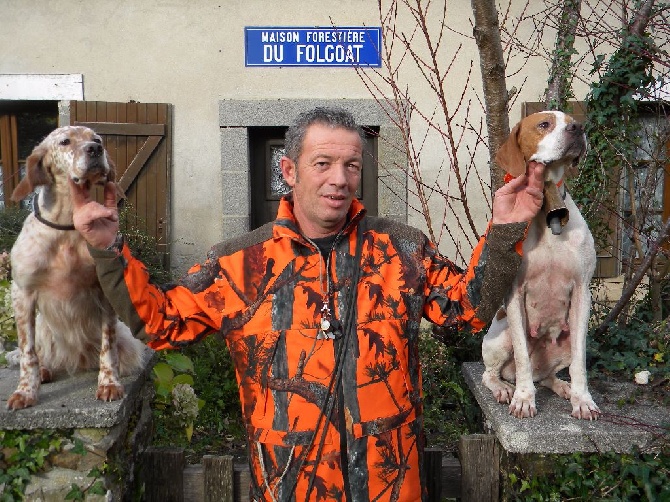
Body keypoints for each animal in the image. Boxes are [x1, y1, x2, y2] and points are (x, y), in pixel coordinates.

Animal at [484, 113, 604, 420]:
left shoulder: (582, 292)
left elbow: (580, 365)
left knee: (549, 375)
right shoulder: (514, 293)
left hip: (566, 340)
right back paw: (504, 388)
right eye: (543, 124)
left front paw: (582, 400)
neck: (549, 214)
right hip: (500, 337)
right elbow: (522, 357)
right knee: (492, 374)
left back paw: (563, 387)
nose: (578, 128)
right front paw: (524, 399)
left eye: (573, 121)